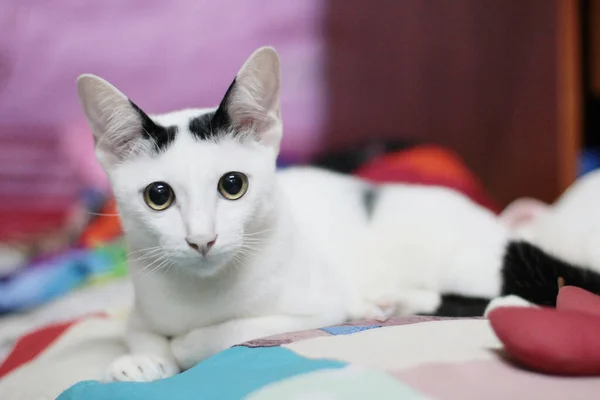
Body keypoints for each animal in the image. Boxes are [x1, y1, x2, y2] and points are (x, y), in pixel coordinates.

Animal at [75, 46, 600, 382]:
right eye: (158, 196)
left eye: (232, 185)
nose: (201, 240)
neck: (203, 293)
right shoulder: (145, 300)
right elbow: (139, 331)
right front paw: (142, 360)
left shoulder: (315, 306)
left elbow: (232, 331)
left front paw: (184, 345)